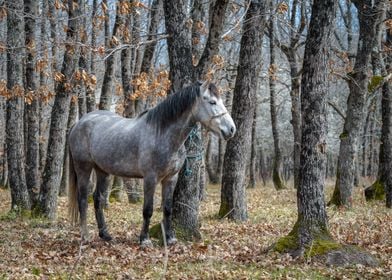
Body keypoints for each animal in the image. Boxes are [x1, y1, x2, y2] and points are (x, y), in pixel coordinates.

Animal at [67, 80, 236, 245]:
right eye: (212, 102)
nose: (231, 129)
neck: (162, 134)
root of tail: (79, 122)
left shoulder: (171, 178)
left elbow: (167, 209)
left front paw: (170, 238)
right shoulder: (150, 178)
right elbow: (147, 210)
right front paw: (145, 239)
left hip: (102, 171)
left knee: (98, 199)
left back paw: (105, 234)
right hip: (84, 168)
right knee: (83, 199)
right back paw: (85, 236)